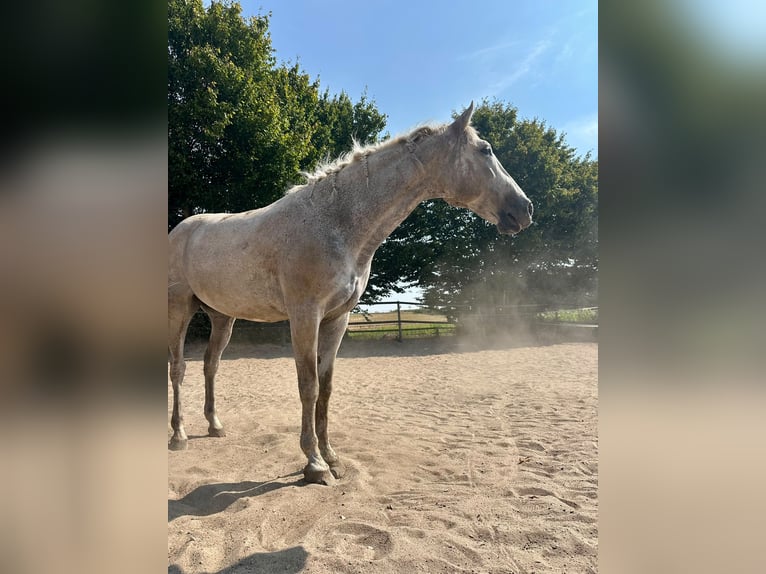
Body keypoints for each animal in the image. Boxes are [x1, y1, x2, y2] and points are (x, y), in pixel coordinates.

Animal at [168, 103, 533, 484]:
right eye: (486, 150)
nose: (525, 208)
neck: (335, 224)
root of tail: (180, 229)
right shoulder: (305, 317)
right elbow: (308, 385)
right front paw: (314, 463)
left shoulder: (336, 319)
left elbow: (326, 388)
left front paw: (332, 457)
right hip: (179, 309)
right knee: (178, 367)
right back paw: (178, 435)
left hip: (222, 317)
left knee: (210, 365)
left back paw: (214, 425)